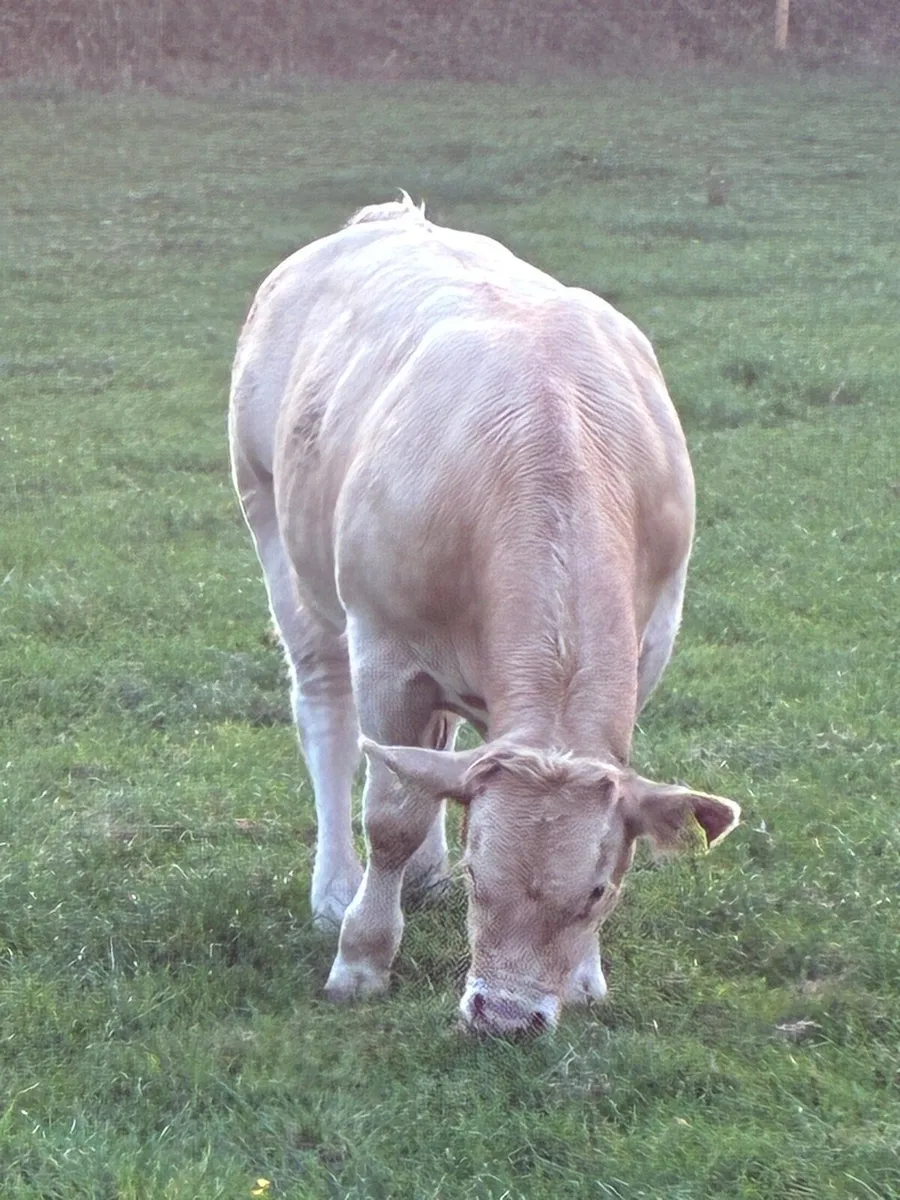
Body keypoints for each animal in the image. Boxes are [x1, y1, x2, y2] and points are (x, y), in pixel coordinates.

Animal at [228, 193, 740, 1036]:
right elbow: (391, 814)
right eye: (479, 875)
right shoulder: (388, 651)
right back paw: (335, 885)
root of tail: (386, 217)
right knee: (326, 714)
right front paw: (362, 958)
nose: (504, 1016)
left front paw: (586, 975)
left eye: (595, 893)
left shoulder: (651, 642)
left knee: (436, 747)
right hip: (274, 527)